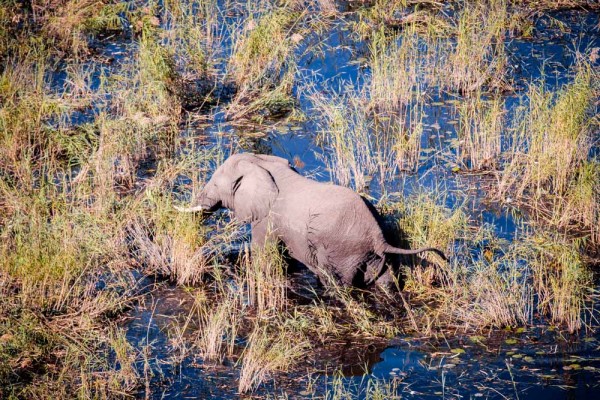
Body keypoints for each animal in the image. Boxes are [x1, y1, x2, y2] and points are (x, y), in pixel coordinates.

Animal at [175, 153, 446, 288]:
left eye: (214, 184)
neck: (263, 164)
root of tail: (377, 237)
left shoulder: (267, 218)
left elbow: (264, 256)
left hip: (342, 252)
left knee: (338, 284)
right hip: (373, 255)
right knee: (386, 282)